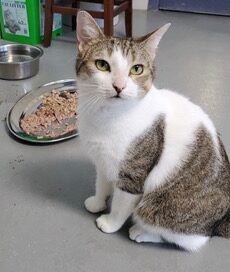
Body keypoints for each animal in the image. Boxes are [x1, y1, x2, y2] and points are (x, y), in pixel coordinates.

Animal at [76, 11, 230, 252]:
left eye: (136, 69)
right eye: (102, 64)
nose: (119, 86)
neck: (106, 116)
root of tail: (221, 221)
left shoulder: (133, 176)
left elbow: (121, 205)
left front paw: (109, 223)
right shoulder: (102, 161)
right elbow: (101, 183)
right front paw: (98, 202)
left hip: (160, 207)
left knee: (191, 239)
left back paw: (141, 232)